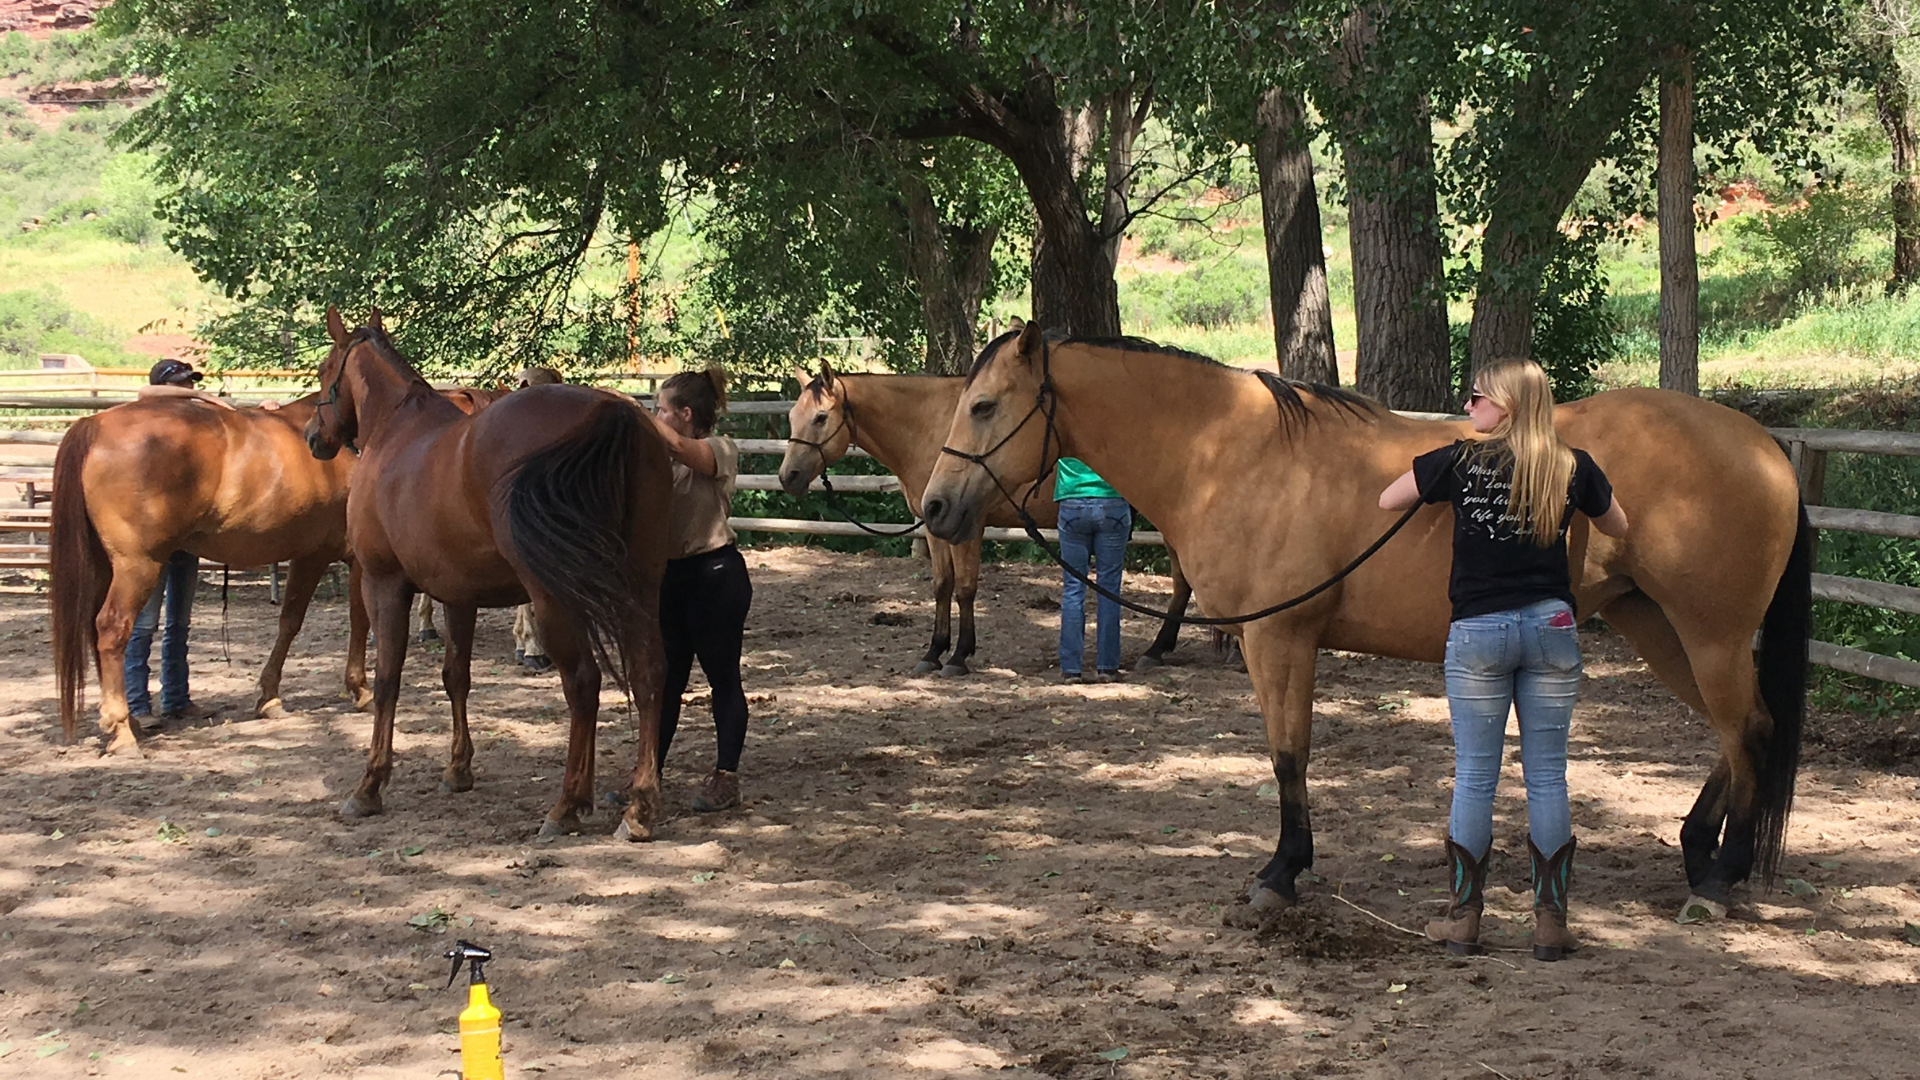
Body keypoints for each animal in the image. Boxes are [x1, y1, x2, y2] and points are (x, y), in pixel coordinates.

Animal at [52, 392, 373, 755]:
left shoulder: (308, 556)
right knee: (111, 629)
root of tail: (95, 424)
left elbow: (289, 622)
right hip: (137, 565)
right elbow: (359, 619)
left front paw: (269, 698)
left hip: (105, 567)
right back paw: (121, 731)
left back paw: (128, 720)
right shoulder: (335, 558)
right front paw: (361, 690)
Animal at [304, 308, 673, 839]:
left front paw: (370, 785)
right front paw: (458, 769)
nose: (314, 436)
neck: (396, 430)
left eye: (323, 371)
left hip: (555, 598)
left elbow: (389, 678)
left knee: (583, 683)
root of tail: (612, 412)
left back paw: (566, 806)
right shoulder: (458, 595)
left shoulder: (383, 583)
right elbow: (456, 675)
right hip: (641, 584)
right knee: (649, 675)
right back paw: (638, 806)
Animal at [778, 362, 1197, 675]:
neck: (931, 428)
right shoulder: (934, 528)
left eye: (820, 417)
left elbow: (965, 588)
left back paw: (1157, 649)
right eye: (792, 416)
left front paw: (959, 655)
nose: (788, 477)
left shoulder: (968, 527)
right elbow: (942, 586)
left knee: (1181, 582)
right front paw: (933, 652)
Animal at [921, 325, 1811, 918]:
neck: (1228, 454)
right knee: (1743, 732)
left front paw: (1281, 873)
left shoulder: (1278, 639)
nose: (934, 508)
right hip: (1655, 626)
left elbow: (1289, 755)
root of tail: (1764, 444)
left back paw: (1720, 879)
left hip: (1708, 636)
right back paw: (1699, 854)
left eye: (985, 406)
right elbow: (1289, 756)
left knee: (1747, 731)